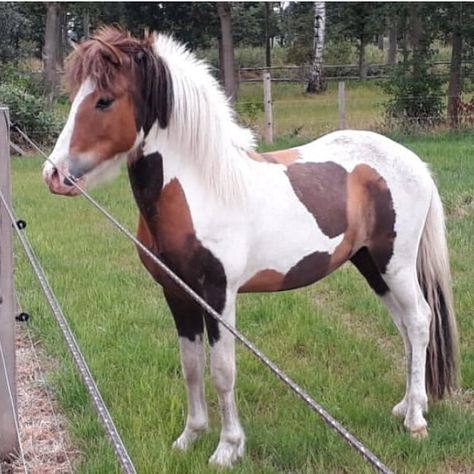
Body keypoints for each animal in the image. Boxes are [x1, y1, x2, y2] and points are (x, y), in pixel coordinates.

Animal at [44, 26, 460, 466]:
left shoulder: (218, 295)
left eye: (104, 100)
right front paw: (190, 437)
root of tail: (412, 162)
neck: (203, 189)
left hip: (395, 263)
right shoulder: (176, 293)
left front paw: (228, 448)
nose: (53, 174)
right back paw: (406, 404)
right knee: (404, 326)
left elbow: (223, 371)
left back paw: (415, 420)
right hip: (370, 265)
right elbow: (191, 367)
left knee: (419, 321)